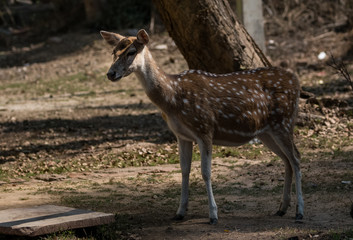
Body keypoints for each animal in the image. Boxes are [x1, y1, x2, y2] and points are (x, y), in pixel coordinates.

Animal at [101, 29, 302, 224]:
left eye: (131, 52)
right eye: (113, 52)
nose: (110, 74)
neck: (172, 97)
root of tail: (296, 81)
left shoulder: (204, 128)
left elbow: (206, 173)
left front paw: (213, 215)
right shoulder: (181, 135)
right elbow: (184, 170)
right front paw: (180, 212)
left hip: (283, 122)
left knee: (296, 158)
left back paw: (299, 212)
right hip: (266, 132)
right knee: (287, 160)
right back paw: (282, 208)